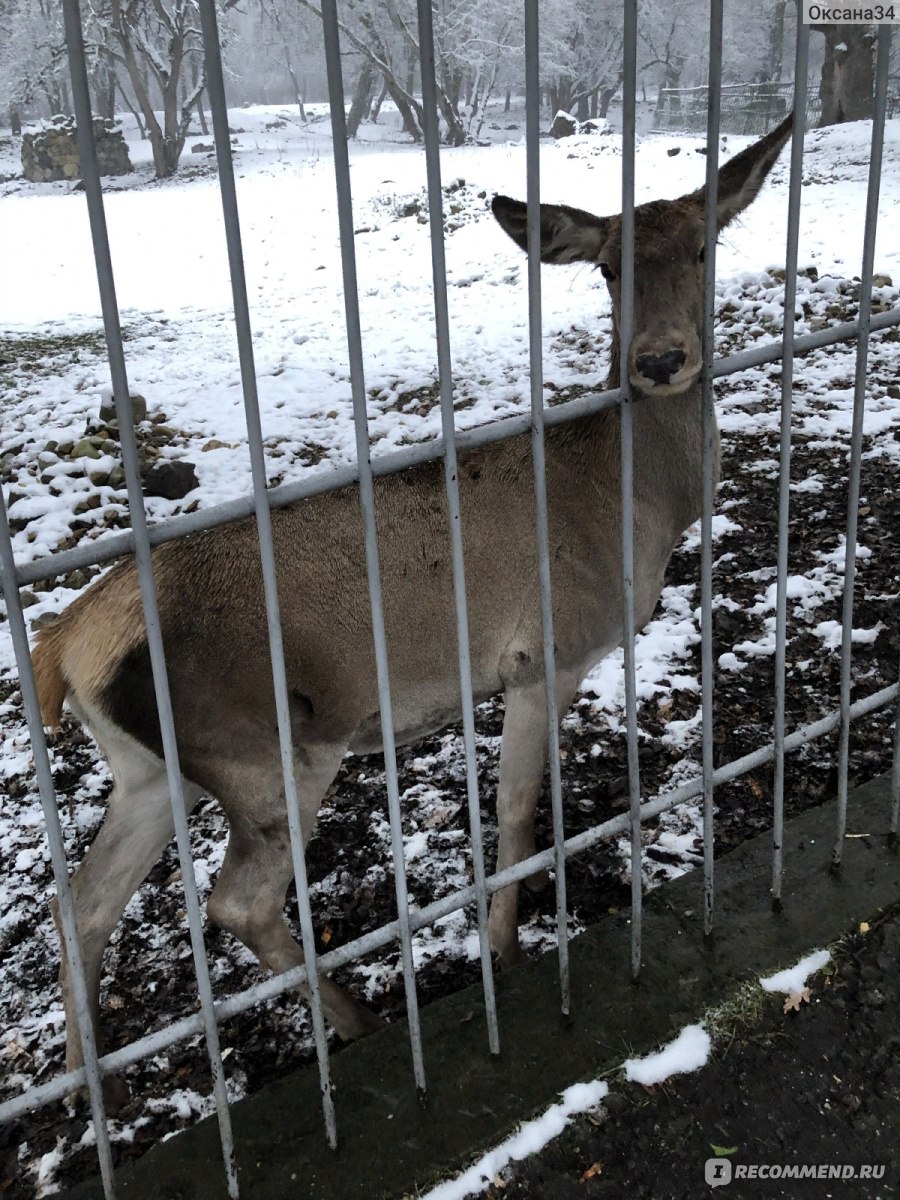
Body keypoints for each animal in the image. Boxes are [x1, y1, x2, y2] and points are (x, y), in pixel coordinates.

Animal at [28, 117, 792, 1099]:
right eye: (610, 267)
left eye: (705, 247)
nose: (660, 360)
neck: (638, 513)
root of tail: (63, 646)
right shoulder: (546, 652)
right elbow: (517, 811)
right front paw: (504, 950)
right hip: (270, 744)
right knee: (236, 899)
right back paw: (361, 1022)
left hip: (148, 768)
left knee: (80, 902)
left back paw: (98, 1091)